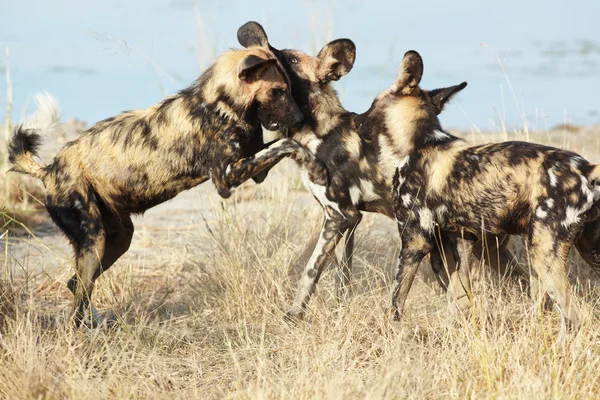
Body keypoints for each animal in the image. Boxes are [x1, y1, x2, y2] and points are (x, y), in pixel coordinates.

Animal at [8, 41, 328, 328]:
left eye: (289, 89)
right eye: (278, 91)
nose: (300, 117)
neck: (221, 105)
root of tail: (49, 170)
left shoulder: (251, 167)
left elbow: (281, 145)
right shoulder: (226, 179)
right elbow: (286, 143)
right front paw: (314, 161)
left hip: (117, 239)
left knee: (76, 285)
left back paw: (96, 326)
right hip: (94, 240)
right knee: (77, 299)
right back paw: (83, 335)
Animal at [386, 49, 600, 338]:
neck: (423, 141)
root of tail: (587, 168)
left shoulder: (414, 243)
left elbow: (397, 300)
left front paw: (392, 333)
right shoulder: (454, 244)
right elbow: (459, 299)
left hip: (543, 254)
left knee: (574, 318)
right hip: (585, 250)